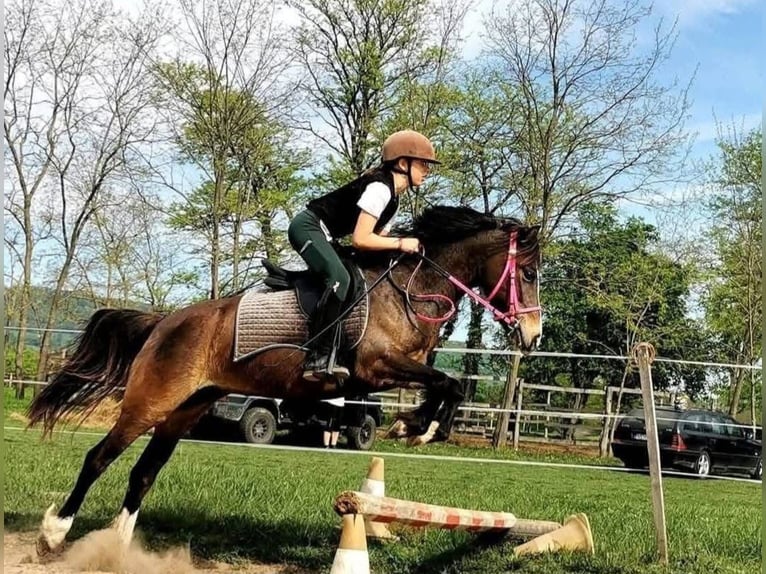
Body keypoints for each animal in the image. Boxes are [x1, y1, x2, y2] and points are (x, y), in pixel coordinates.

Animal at [28, 205, 542, 556]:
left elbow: (445, 384)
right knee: (99, 458)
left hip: (186, 409)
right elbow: (448, 384)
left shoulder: (400, 370)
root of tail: (164, 323)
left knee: (144, 472)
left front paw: (416, 426)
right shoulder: (375, 366)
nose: (533, 335)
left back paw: (115, 548)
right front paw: (421, 428)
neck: (410, 289)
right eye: (530, 272)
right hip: (150, 402)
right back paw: (54, 532)